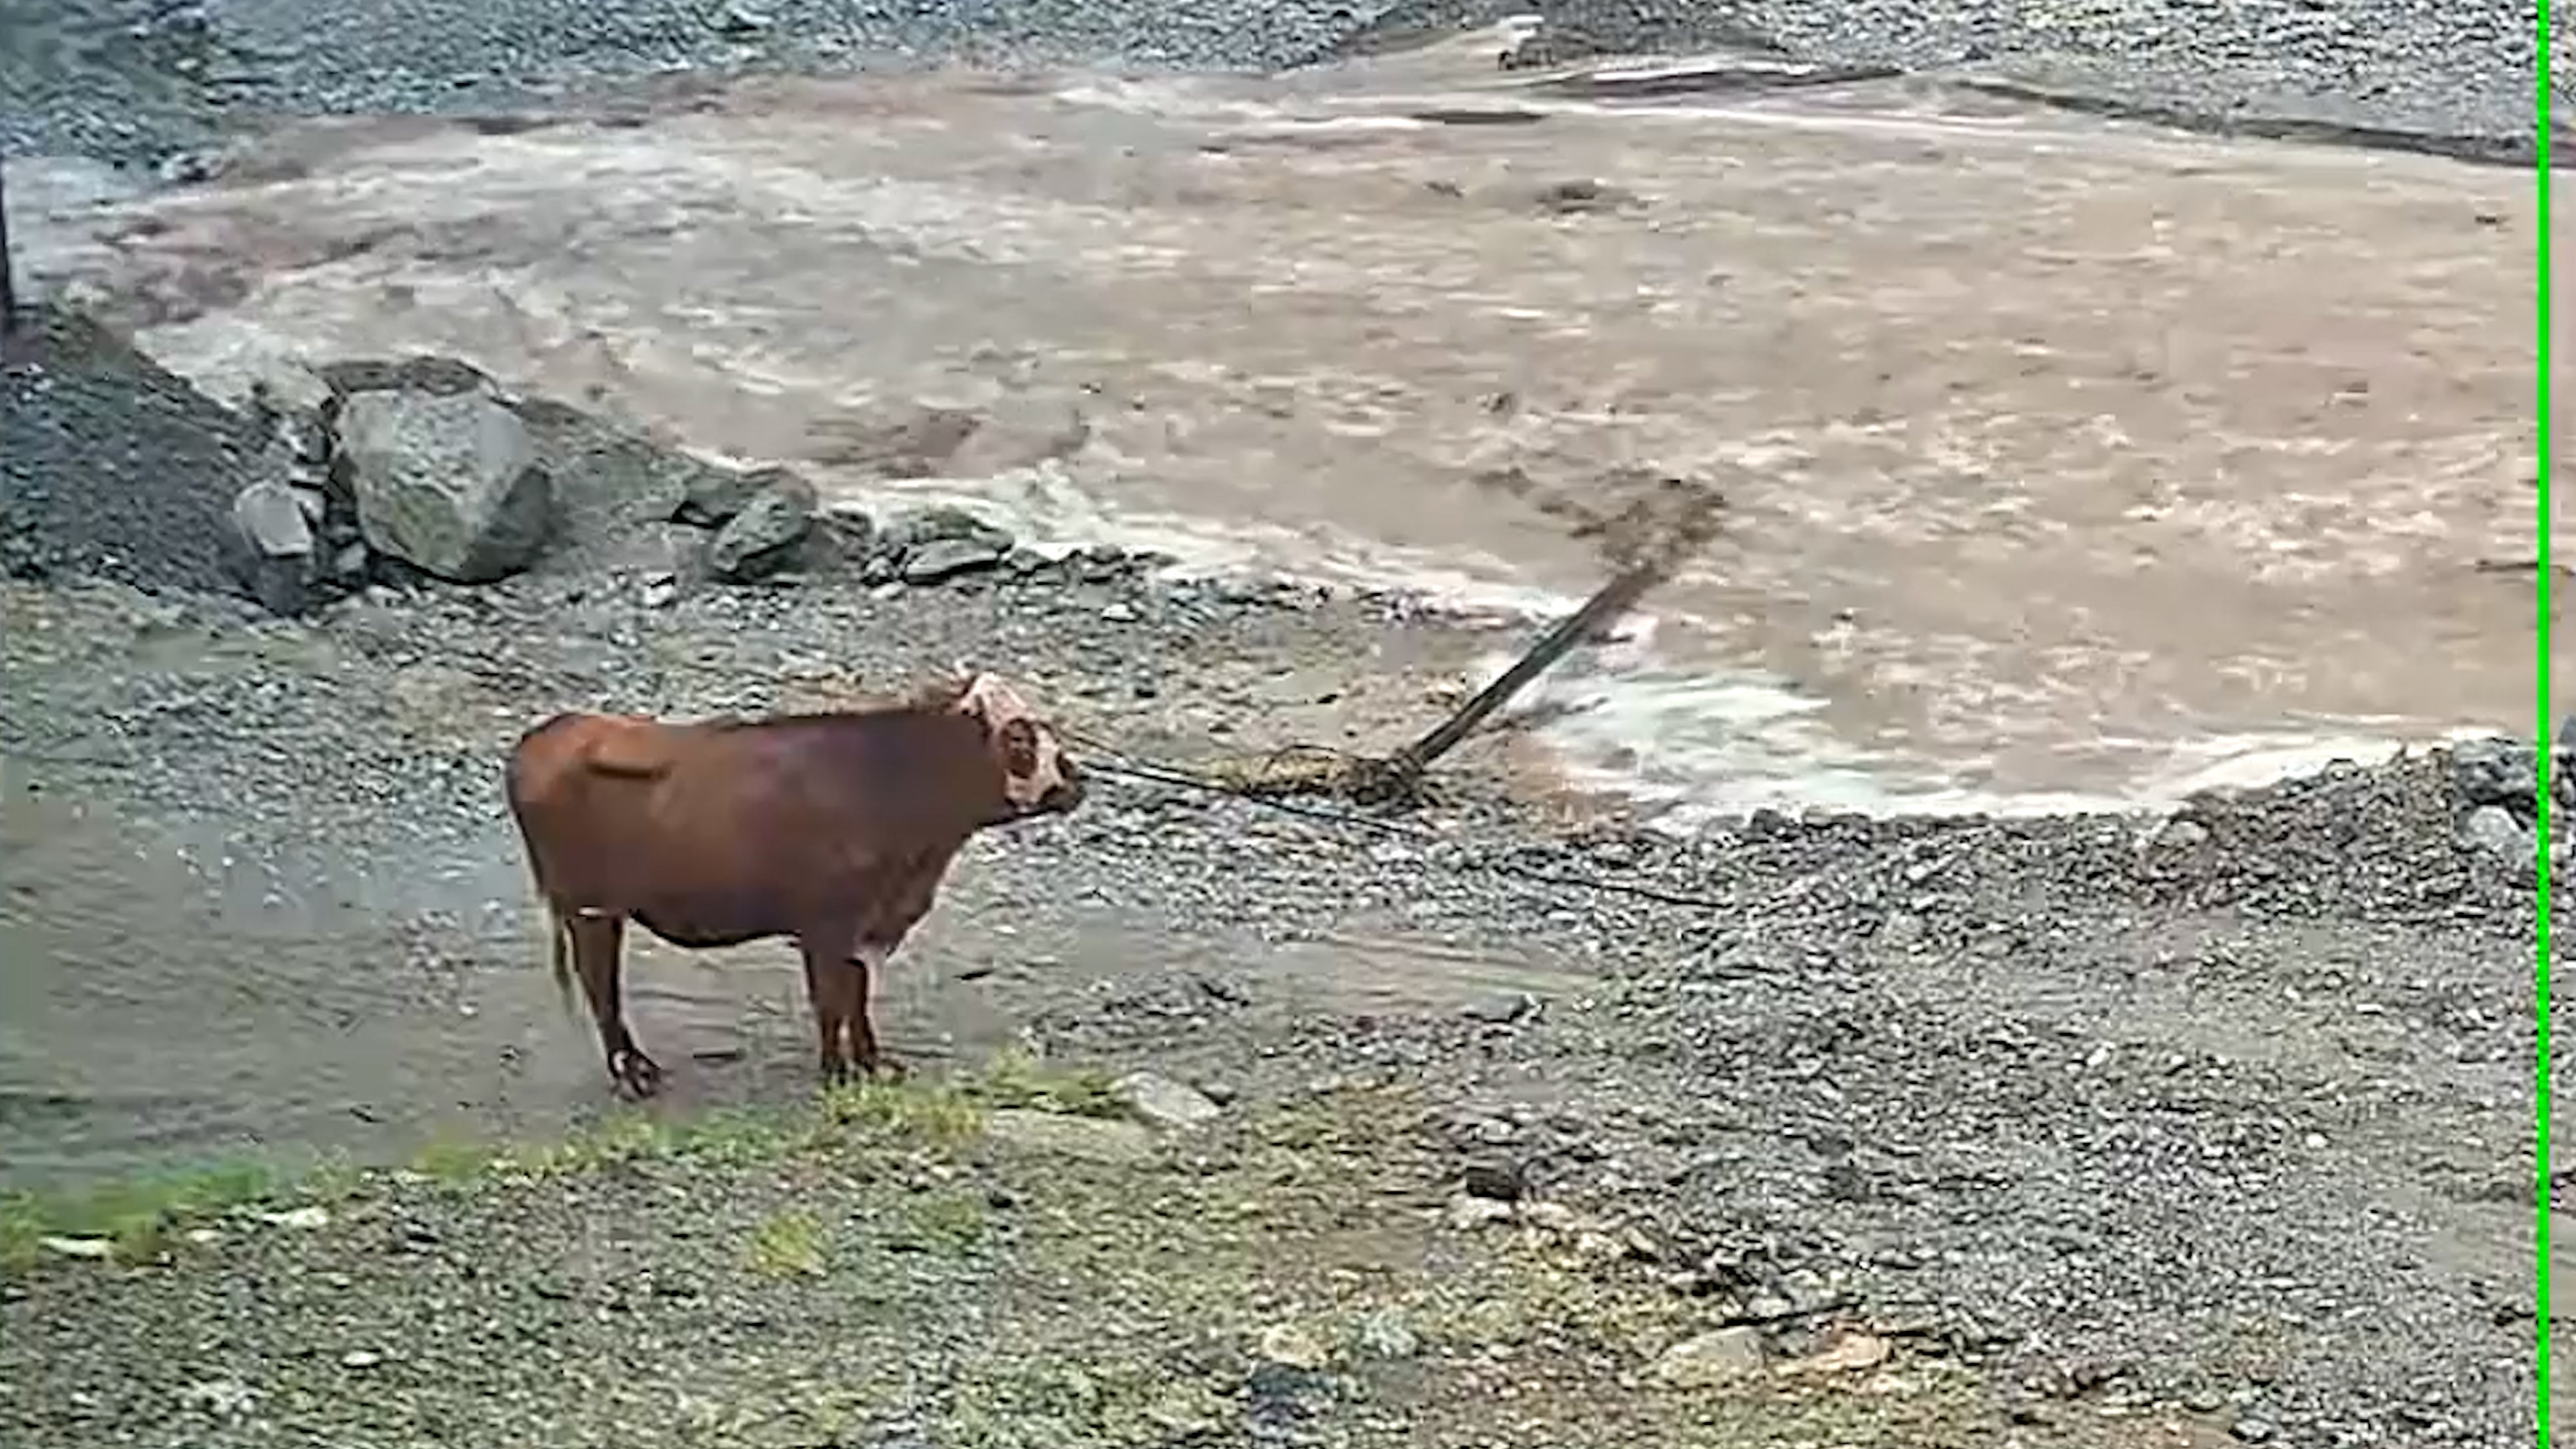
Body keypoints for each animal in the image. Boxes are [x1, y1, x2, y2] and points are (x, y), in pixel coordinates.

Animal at [502, 669, 1086, 1097]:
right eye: (1018, 736)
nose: (1079, 780)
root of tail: (549, 733)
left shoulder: (863, 924)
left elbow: (856, 994)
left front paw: (871, 1065)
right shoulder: (827, 924)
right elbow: (831, 1000)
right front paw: (836, 1074)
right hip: (591, 909)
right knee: (600, 984)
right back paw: (633, 1074)